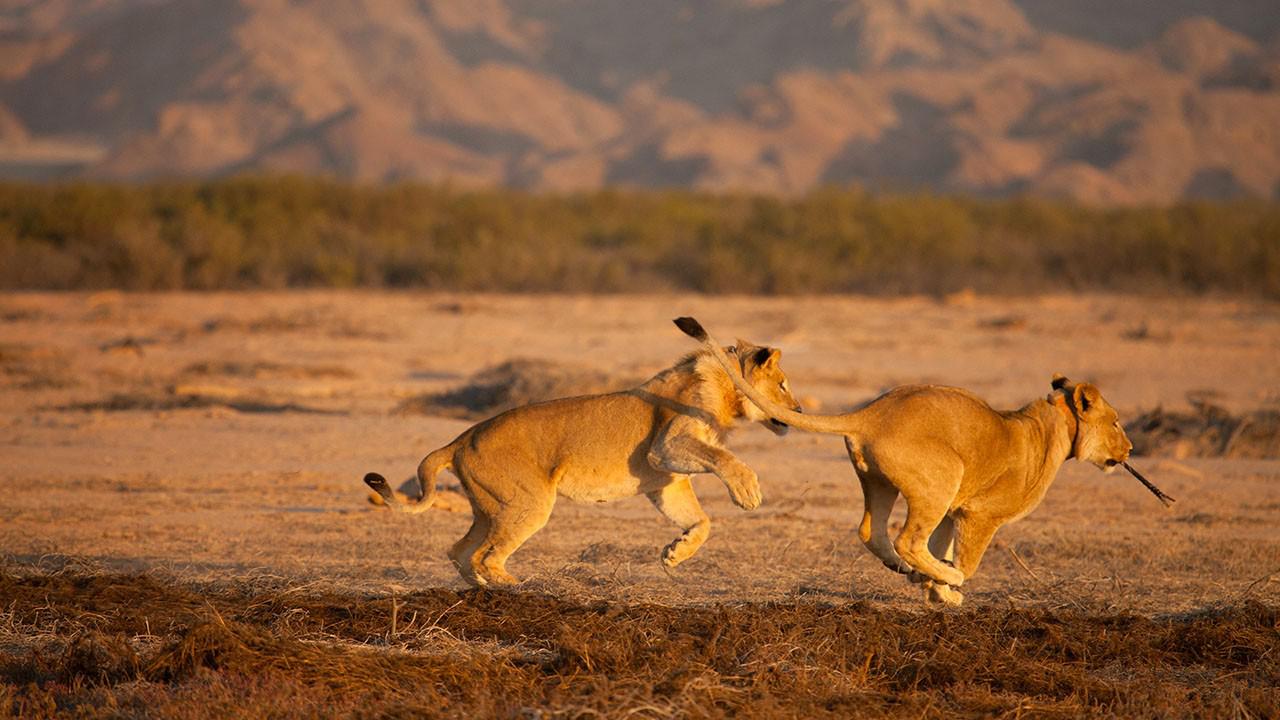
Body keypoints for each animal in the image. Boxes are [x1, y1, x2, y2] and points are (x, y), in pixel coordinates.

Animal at [363, 335, 798, 584]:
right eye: (782, 384)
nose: (796, 411)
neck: (729, 393)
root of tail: (460, 438)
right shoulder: (668, 444)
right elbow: (724, 458)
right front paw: (747, 491)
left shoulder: (666, 479)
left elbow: (699, 520)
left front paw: (677, 552)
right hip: (528, 502)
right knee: (486, 557)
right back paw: (519, 587)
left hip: (489, 507)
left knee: (460, 553)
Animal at [670, 316, 1131, 602]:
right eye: (1117, 422)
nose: (1128, 451)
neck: (1051, 427)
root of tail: (871, 412)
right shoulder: (979, 515)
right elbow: (965, 558)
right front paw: (946, 589)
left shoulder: (954, 511)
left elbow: (940, 544)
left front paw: (931, 585)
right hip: (943, 476)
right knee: (906, 538)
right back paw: (941, 576)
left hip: (881, 482)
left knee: (873, 532)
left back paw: (907, 569)